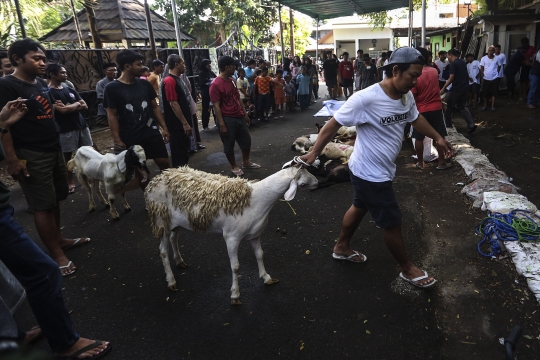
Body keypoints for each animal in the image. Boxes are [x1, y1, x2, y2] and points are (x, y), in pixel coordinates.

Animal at [146, 162, 318, 306]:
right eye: (303, 183)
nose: (317, 183)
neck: (257, 199)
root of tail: (155, 180)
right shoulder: (231, 237)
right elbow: (235, 267)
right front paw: (235, 295)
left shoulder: (255, 234)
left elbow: (260, 255)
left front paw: (266, 277)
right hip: (161, 220)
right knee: (162, 251)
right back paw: (171, 281)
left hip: (175, 223)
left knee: (174, 238)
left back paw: (179, 261)